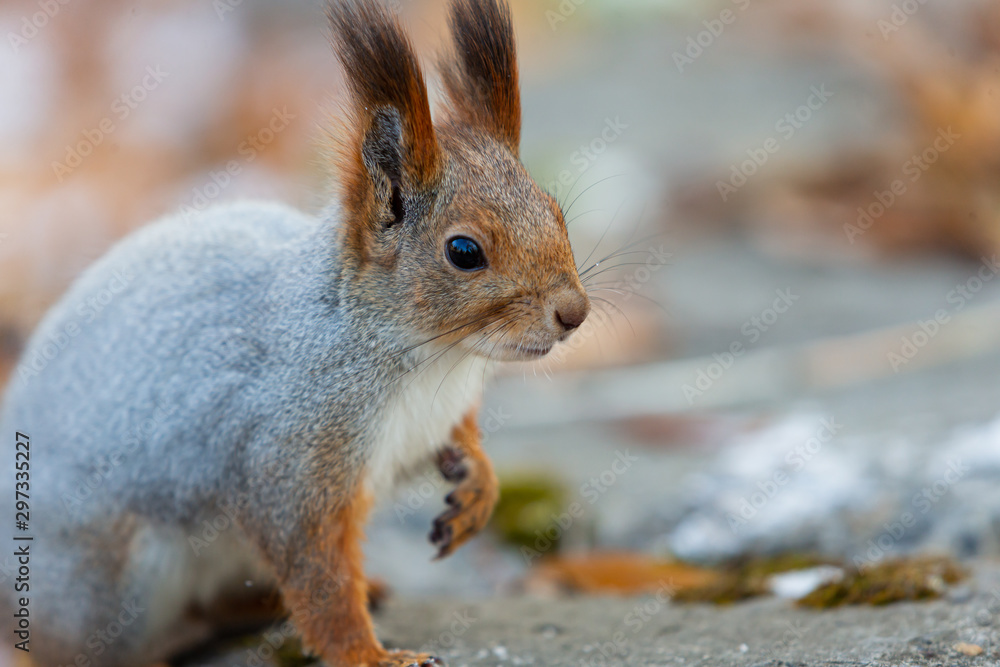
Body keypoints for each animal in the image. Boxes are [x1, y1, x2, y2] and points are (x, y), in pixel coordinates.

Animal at [0, 0, 590, 665]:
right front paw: (371, 656)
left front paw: (477, 487)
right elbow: (317, 575)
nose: (575, 312)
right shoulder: (288, 458)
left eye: (555, 211)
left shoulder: (434, 415)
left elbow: (461, 445)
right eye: (464, 251)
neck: (428, 360)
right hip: (106, 585)